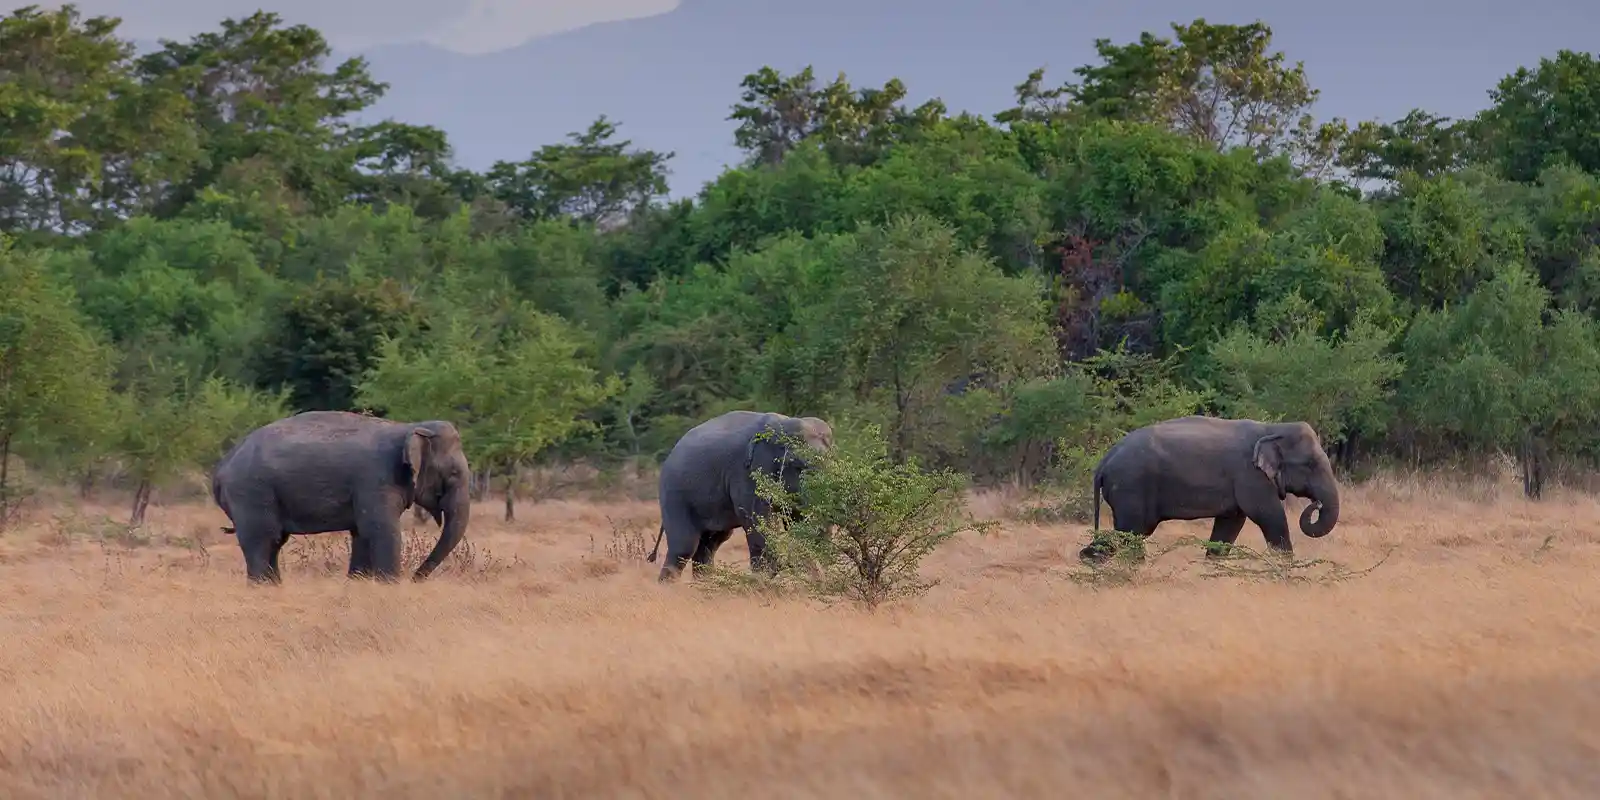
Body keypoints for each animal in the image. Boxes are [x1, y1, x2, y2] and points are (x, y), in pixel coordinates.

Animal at [210, 410, 473, 584]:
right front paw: (390, 585)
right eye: (454, 474)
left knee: (273, 543)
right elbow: (381, 529)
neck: (409, 427)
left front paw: (359, 583)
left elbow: (362, 533)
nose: (415, 578)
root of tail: (221, 467)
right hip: (250, 492)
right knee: (261, 540)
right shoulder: (375, 480)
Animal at [646, 410, 834, 582]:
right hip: (674, 493)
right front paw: (762, 580)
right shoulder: (747, 474)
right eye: (798, 466)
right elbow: (758, 521)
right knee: (684, 546)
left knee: (710, 544)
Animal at [1081, 415, 1341, 564]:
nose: (1316, 503)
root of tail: (1103, 462)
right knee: (1132, 531)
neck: (1272, 429)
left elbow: (1231, 523)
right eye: (1310, 464)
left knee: (1131, 532)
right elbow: (1269, 515)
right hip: (1131, 486)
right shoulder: (1249, 475)